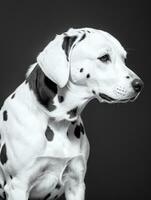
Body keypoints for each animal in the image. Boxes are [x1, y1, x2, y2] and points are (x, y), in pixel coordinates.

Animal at [0, 27, 143, 199]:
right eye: (104, 57)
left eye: (124, 59)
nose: (139, 85)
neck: (57, 122)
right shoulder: (18, 187)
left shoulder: (76, 184)